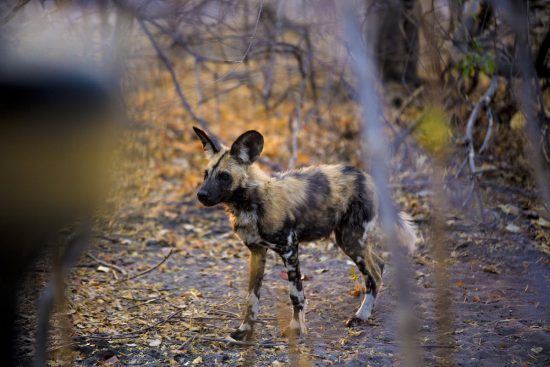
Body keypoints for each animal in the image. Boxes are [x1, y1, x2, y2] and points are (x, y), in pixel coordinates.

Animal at [192, 127, 420, 342]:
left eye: (224, 176)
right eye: (205, 174)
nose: (201, 195)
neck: (250, 203)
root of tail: (367, 177)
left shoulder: (290, 250)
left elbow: (295, 294)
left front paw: (295, 329)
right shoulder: (257, 253)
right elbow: (252, 298)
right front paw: (244, 331)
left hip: (351, 240)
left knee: (372, 275)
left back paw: (360, 316)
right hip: (348, 240)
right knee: (379, 265)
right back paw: (367, 309)